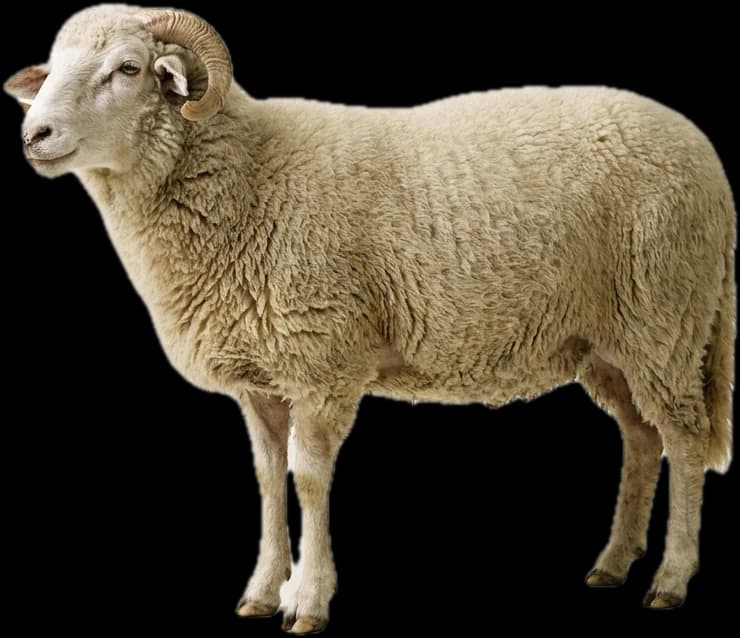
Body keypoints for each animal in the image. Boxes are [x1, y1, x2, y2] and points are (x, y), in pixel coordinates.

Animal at [5, 3, 735, 631]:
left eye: (128, 68)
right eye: (52, 67)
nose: (33, 135)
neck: (248, 178)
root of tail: (707, 161)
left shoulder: (322, 360)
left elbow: (308, 477)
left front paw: (308, 600)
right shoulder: (260, 379)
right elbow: (267, 480)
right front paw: (261, 591)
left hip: (666, 319)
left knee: (685, 439)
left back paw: (670, 579)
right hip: (609, 343)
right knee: (640, 438)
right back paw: (612, 564)